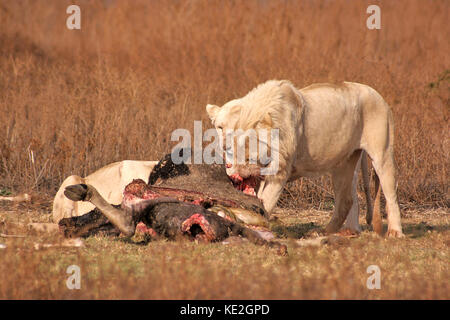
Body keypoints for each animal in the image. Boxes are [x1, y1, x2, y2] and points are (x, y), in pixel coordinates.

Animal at [207, 79, 404, 238]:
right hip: (343, 163)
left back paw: (395, 232)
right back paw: (325, 232)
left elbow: (266, 203)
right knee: (346, 200)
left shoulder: (280, 172)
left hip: (382, 153)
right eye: (219, 127)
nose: (234, 174)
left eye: (249, 158)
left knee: (390, 192)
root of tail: (376, 93)